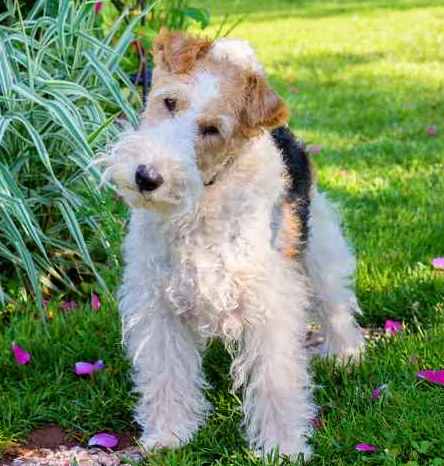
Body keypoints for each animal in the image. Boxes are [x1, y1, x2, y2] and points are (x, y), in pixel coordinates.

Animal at [104, 30, 364, 462]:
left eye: (212, 129)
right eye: (169, 102)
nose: (147, 177)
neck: (203, 201)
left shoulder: (270, 303)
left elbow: (275, 382)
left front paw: (283, 449)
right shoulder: (156, 301)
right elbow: (167, 374)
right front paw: (169, 435)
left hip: (319, 246)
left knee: (336, 304)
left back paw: (347, 354)